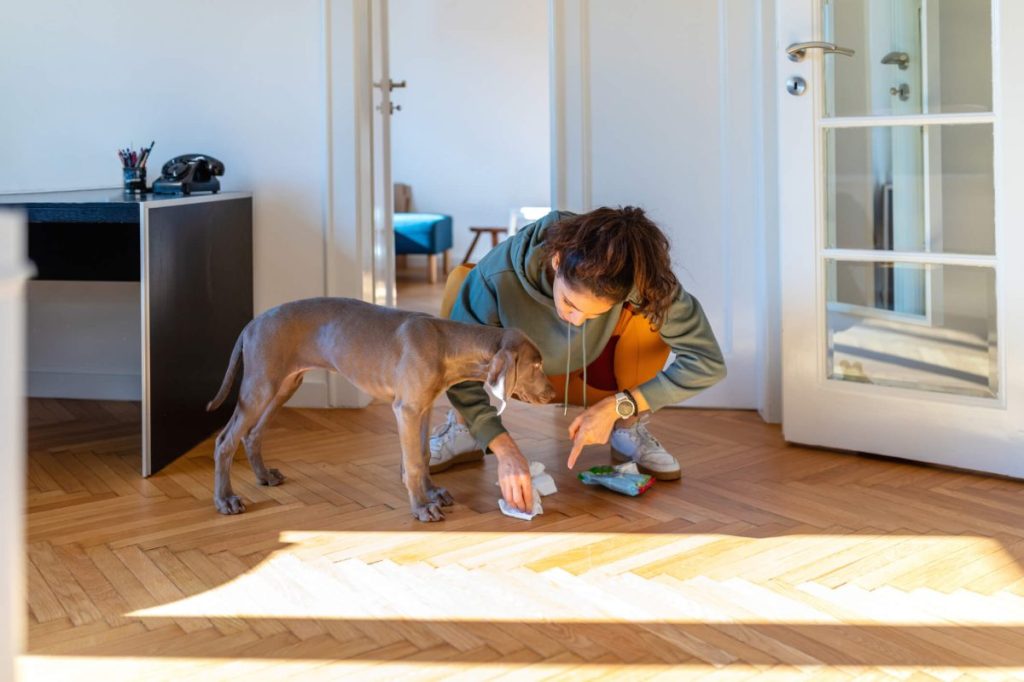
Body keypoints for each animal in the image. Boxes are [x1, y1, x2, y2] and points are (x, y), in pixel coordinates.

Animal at [204, 296, 557, 520]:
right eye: (537, 365)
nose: (554, 393)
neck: (446, 343)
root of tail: (252, 325)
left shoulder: (423, 407)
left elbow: (423, 455)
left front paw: (432, 492)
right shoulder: (407, 410)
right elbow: (412, 462)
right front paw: (421, 507)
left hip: (284, 385)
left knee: (252, 433)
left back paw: (264, 476)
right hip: (261, 386)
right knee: (225, 440)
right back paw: (225, 500)